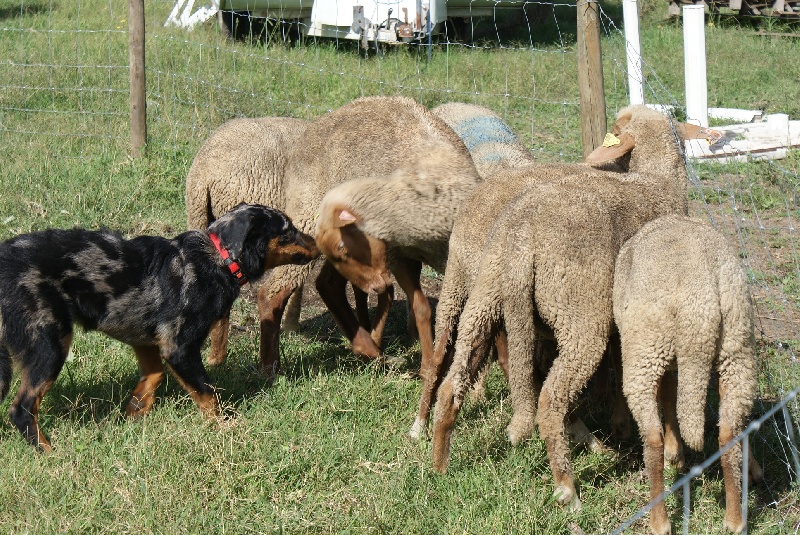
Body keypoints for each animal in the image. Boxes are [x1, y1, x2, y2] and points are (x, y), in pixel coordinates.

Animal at [0, 203, 318, 450]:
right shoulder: (180, 347)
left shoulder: (146, 342)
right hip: (50, 344)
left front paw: (131, 418)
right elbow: (208, 394)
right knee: (21, 409)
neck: (218, 260)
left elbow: (152, 378)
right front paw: (225, 429)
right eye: (287, 230)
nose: (317, 241)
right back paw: (50, 452)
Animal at [250, 96, 476, 378]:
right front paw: (428, 367)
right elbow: (421, 307)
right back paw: (270, 366)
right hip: (306, 216)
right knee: (273, 292)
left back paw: (368, 347)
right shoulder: (398, 254)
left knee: (329, 285)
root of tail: (314, 126)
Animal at [432, 105, 688, 516]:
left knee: (453, 380)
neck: (657, 181)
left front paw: (622, 424)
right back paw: (568, 488)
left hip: (485, 295)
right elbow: (665, 387)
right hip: (579, 316)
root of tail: (523, 238)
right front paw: (673, 451)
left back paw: (439, 466)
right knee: (550, 400)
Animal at [616, 215, 760, 535]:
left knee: (652, 437)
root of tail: (699, 301)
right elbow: (672, 395)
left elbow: (668, 396)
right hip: (736, 347)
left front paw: (675, 453)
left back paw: (659, 521)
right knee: (728, 431)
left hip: (644, 350)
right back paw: (734, 519)